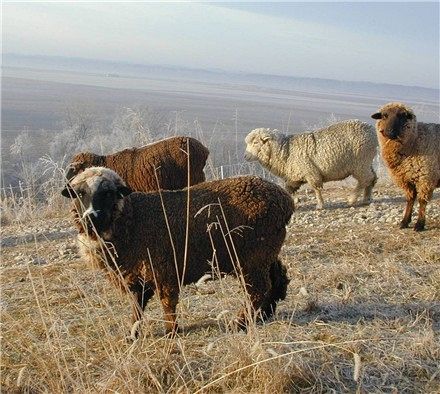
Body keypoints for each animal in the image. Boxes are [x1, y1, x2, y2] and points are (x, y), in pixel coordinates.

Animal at [62, 166, 294, 336]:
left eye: (108, 193)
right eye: (79, 193)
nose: (91, 218)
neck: (133, 219)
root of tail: (285, 200)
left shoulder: (163, 270)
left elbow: (167, 303)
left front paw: (171, 331)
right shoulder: (136, 276)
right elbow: (137, 306)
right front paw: (133, 333)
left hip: (252, 257)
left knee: (258, 290)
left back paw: (240, 323)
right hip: (265, 253)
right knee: (277, 278)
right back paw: (265, 313)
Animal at [244, 121, 378, 209]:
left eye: (255, 142)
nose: (245, 156)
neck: (286, 151)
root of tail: (372, 131)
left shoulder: (310, 172)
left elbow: (316, 189)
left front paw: (320, 205)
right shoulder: (294, 177)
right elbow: (289, 190)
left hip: (360, 163)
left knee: (365, 179)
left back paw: (352, 199)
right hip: (366, 162)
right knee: (373, 178)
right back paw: (366, 198)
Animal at [372, 102, 440, 231]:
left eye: (402, 116)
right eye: (384, 115)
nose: (389, 132)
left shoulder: (426, 178)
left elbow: (422, 201)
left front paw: (419, 224)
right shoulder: (405, 179)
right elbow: (410, 199)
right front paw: (404, 222)